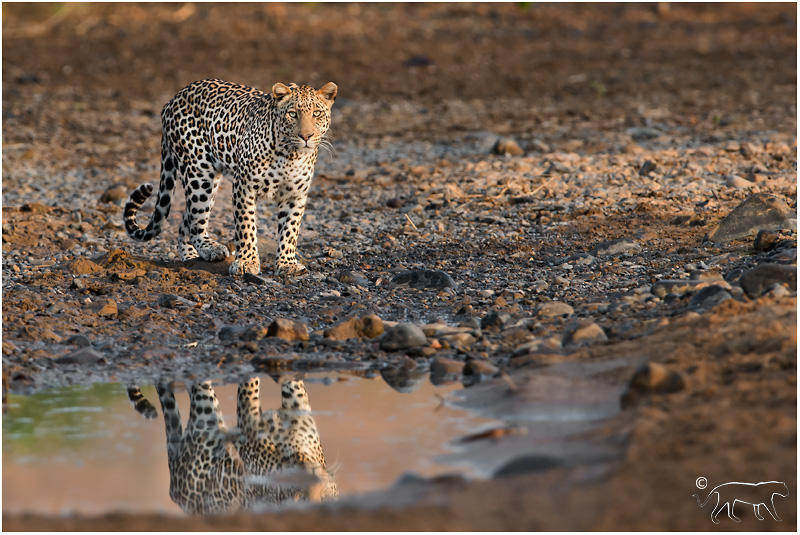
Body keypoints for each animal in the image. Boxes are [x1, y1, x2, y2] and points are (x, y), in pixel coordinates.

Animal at [123, 78, 337, 276]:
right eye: (292, 114)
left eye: (316, 113)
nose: (306, 136)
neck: (291, 155)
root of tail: (172, 100)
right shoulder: (244, 187)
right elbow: (246, 226)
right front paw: (246, 262)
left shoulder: (295, 195)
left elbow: (290, 230)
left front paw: (287, 264)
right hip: (199, 174)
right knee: (195, 220)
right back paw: (211, 249)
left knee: (186, 219)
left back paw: (190, 256)